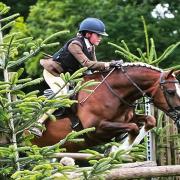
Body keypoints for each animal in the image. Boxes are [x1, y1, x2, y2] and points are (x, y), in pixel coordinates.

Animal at [32, 62, 180, 151]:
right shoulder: (96, 128)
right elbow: (133, 128)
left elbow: (150, 121)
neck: (114, 93)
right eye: (171, 92)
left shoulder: (128, 118)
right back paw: (36, 128)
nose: (179, 116)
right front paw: (117, 151)